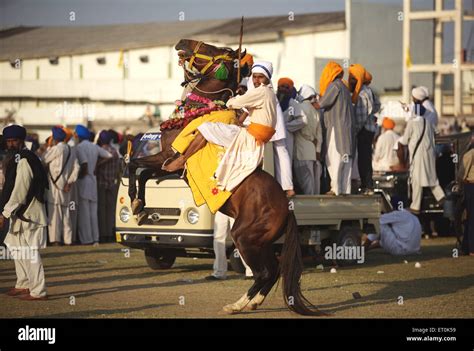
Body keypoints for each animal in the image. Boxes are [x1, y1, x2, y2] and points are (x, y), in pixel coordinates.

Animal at [129, 40, 326, 318]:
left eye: (216, 50)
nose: (182, 43)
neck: (197, 113)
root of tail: (287, 208)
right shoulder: (167, 164)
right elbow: (141, 171)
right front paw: (139, 206)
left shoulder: (170, 156)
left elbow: (134, 165)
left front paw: (136, 203)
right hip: (261, 242)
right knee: (273, 270)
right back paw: (251, 302)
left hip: (244, 236)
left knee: (264, 271)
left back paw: (237, 304)